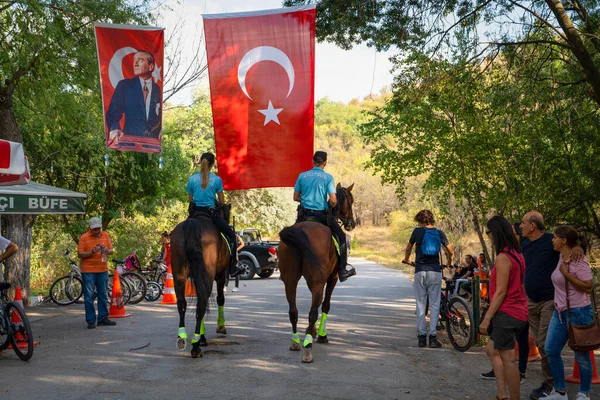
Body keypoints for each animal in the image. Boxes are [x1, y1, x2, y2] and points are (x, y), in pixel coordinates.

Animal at [171, 205, 234, 358]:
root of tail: (193, 224)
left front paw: (202, 336)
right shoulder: (220, 276)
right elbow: (220, 299)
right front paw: (219, 327)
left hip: (179, 274)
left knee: (182, 303)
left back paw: (182, 337)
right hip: (209, 274)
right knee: (202, 303)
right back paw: (195, 345)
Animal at [278, 184, 356, 362]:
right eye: (351, 201)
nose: (352, 223)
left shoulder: (311, 281)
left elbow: (317, 304)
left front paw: (312, 330)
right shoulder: (332, 278)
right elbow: (325, 305)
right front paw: (320, 334)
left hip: (291, 281)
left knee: (293, 311)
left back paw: (295, 342)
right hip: (319, 281)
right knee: (313, 312)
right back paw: (307, 348)